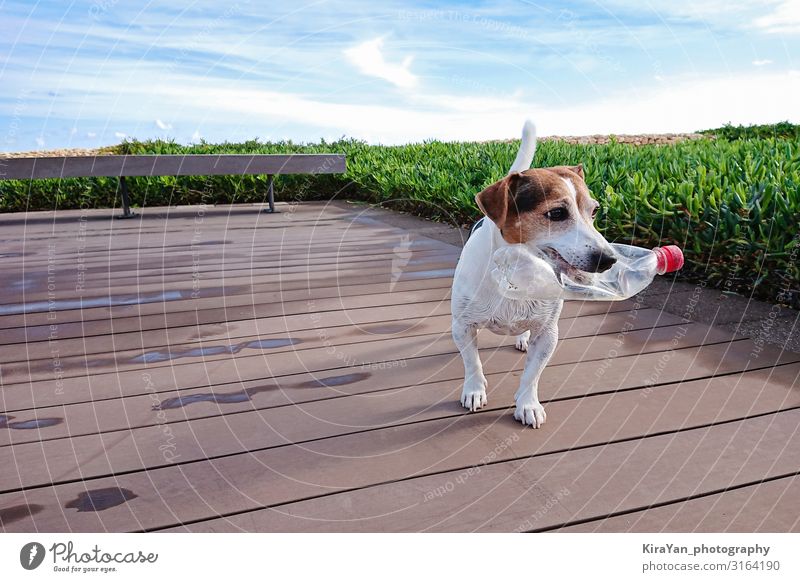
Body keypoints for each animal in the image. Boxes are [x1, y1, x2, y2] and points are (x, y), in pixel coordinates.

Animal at [450, 120, 620, 428]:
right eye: (557, 213)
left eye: (594, 211)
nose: (609, 259)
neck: (516, 274)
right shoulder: (463, 326)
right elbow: (472, 362)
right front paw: (474, 390)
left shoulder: (548, 334)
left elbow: (532, 374)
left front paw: (527, 404)